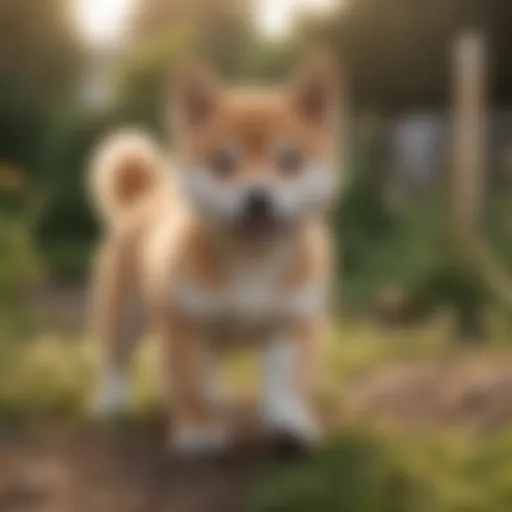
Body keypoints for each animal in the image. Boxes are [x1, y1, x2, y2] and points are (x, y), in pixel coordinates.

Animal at [90, 51, 342, 452]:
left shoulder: (293, 322)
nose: (258, 197)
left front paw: (290, 422)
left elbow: (288, 382)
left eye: (289, 161)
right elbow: (194, 386)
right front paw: (199, 428)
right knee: (117, 359)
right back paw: (112, 403)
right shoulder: (187, 326)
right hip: (124, 311)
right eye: (223, 162)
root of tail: (151, 193)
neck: (252, 262)